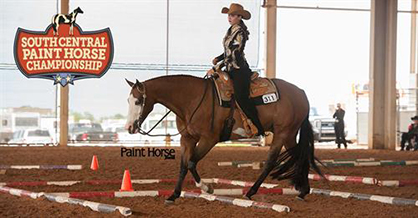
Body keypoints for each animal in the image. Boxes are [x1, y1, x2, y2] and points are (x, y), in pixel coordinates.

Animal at [124, 74, 324, 204]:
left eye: (138, 101)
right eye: (128, 101)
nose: (129, 128)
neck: (192, 99)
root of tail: (301, 93)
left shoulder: (209, 139)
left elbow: (192, 162)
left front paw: (207, 188)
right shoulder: (187, 139)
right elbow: (183, 165)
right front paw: (173, 195)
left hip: (282, 133)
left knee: (271, 161)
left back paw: (250, 192)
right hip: (289, 135)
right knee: (300, 156)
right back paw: (303, 191)